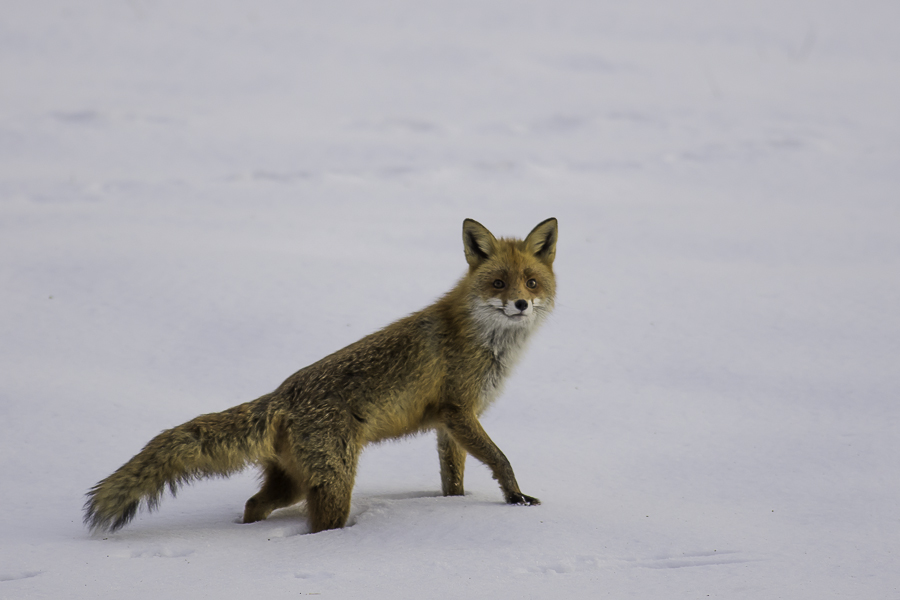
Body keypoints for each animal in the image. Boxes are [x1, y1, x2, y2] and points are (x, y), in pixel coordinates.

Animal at [88, 218, 560, 532]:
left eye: (531, 282)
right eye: (498, 283)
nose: (520, 304)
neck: (485, 340)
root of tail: (280, 395)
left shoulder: (448, 424)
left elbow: (453, 480)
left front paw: (456, 508)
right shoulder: (458, 410)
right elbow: (501, 459)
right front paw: (516, 498)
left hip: (294, 484)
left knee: (253, 504)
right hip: (334, 484)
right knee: (316, 525)